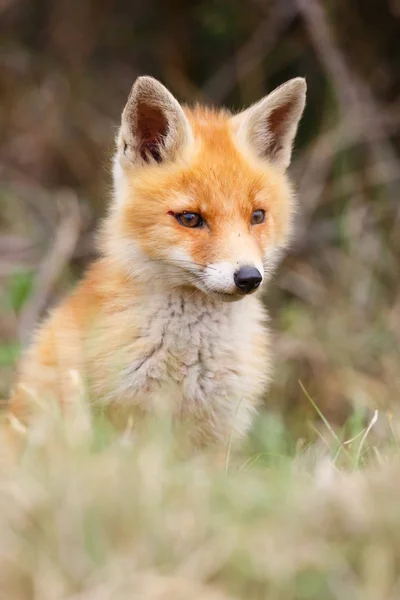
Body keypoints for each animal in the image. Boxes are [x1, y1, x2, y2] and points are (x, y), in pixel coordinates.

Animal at [4, 74, 306, 450]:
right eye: (190, 218)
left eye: (258, 216)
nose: (249, 278)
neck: (190, 361)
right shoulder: (128, 424)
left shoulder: (216, 432)